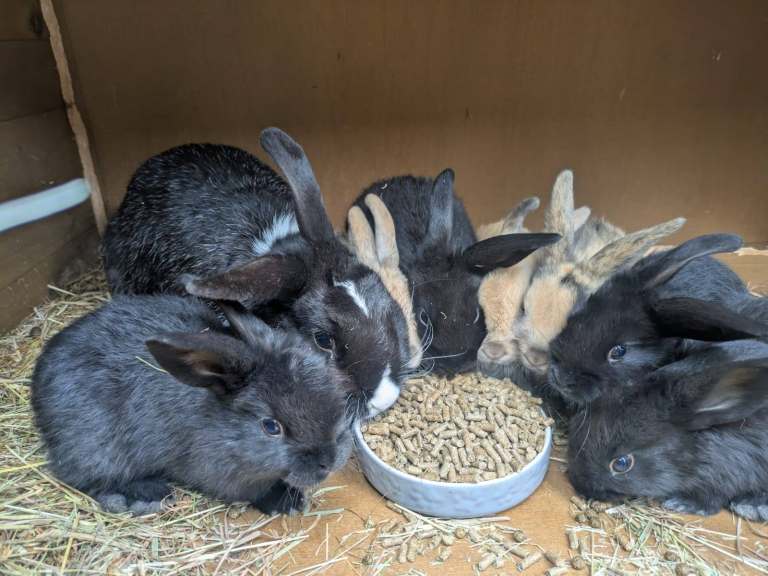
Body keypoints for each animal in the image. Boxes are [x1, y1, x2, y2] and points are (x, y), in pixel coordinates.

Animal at [31, 295, 353, 516]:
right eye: (272, 427)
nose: (328, 461)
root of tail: (37, 386)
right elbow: (254, 490)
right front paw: (285, 502)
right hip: (98, 448)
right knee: (83, 477)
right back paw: (143, 496)